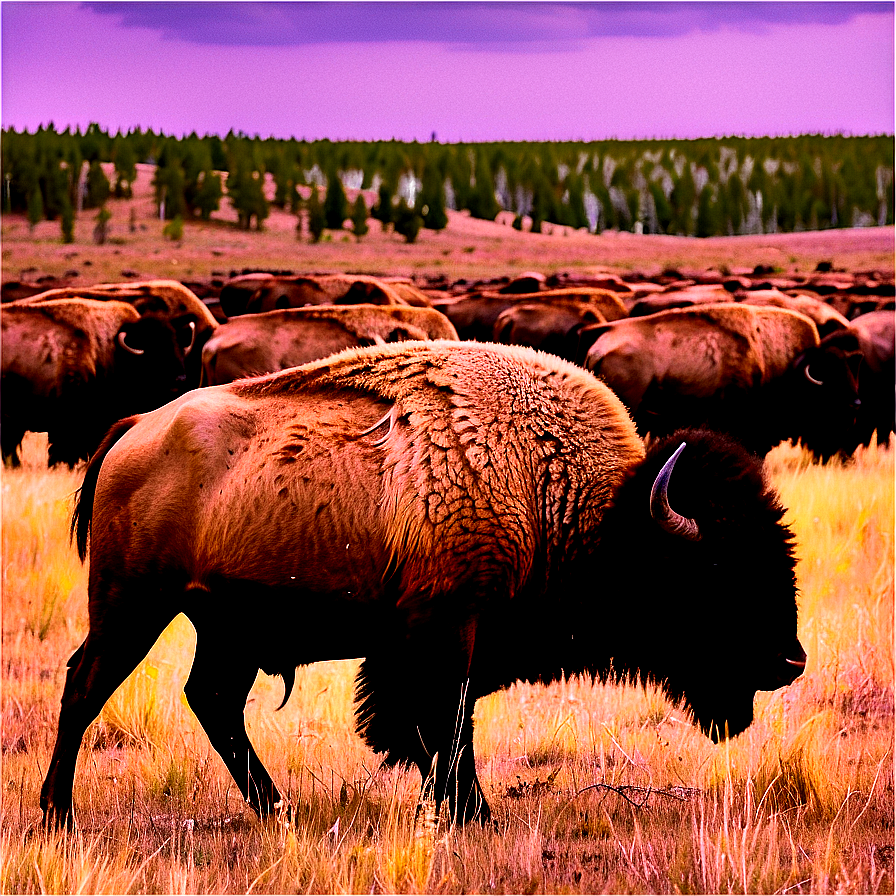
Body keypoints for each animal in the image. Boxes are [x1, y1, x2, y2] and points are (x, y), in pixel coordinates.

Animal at [43, 340, 804, 828]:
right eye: (717, 573)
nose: (790, 661)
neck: (573, 501)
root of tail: (136, 429)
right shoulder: (449, 627)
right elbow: (446, 724)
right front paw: (475, 816)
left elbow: (433, 726)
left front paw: (454, 810)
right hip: (132, 606)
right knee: (85, 684)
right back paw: (58, 814)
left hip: (224, 626)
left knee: (212, 700)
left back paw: (277, 809)